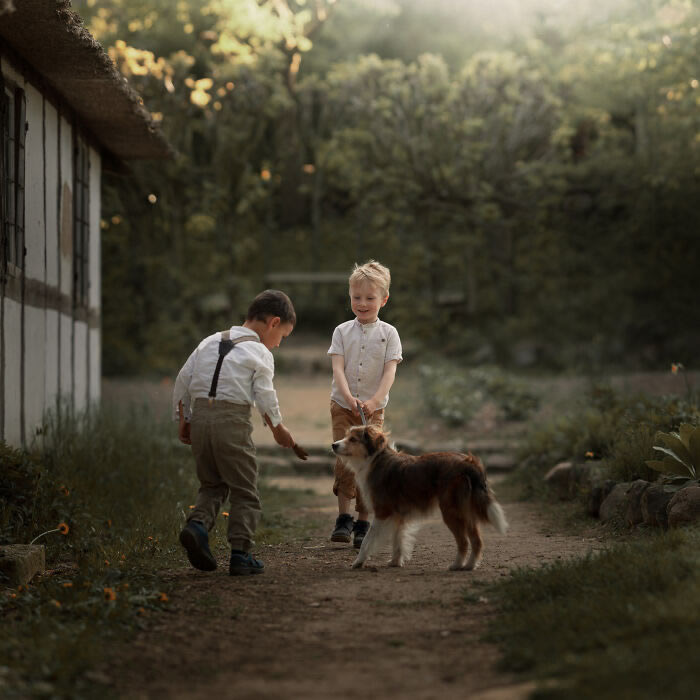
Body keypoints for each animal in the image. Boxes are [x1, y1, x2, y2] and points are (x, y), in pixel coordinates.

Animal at [334, 426, 508, 568]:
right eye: (346, 436)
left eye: (353, 439)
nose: (333, 445)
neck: (375, 459)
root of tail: (469, 462)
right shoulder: (398, 516)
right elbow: (398, 540)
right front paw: (395, 562)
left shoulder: (382, 512)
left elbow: (367, 541)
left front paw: (358, 562)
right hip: (466, 511)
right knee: (477, 541)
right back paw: (470, 565)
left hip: (451, 511)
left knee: (464, 542)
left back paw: (457, 565)